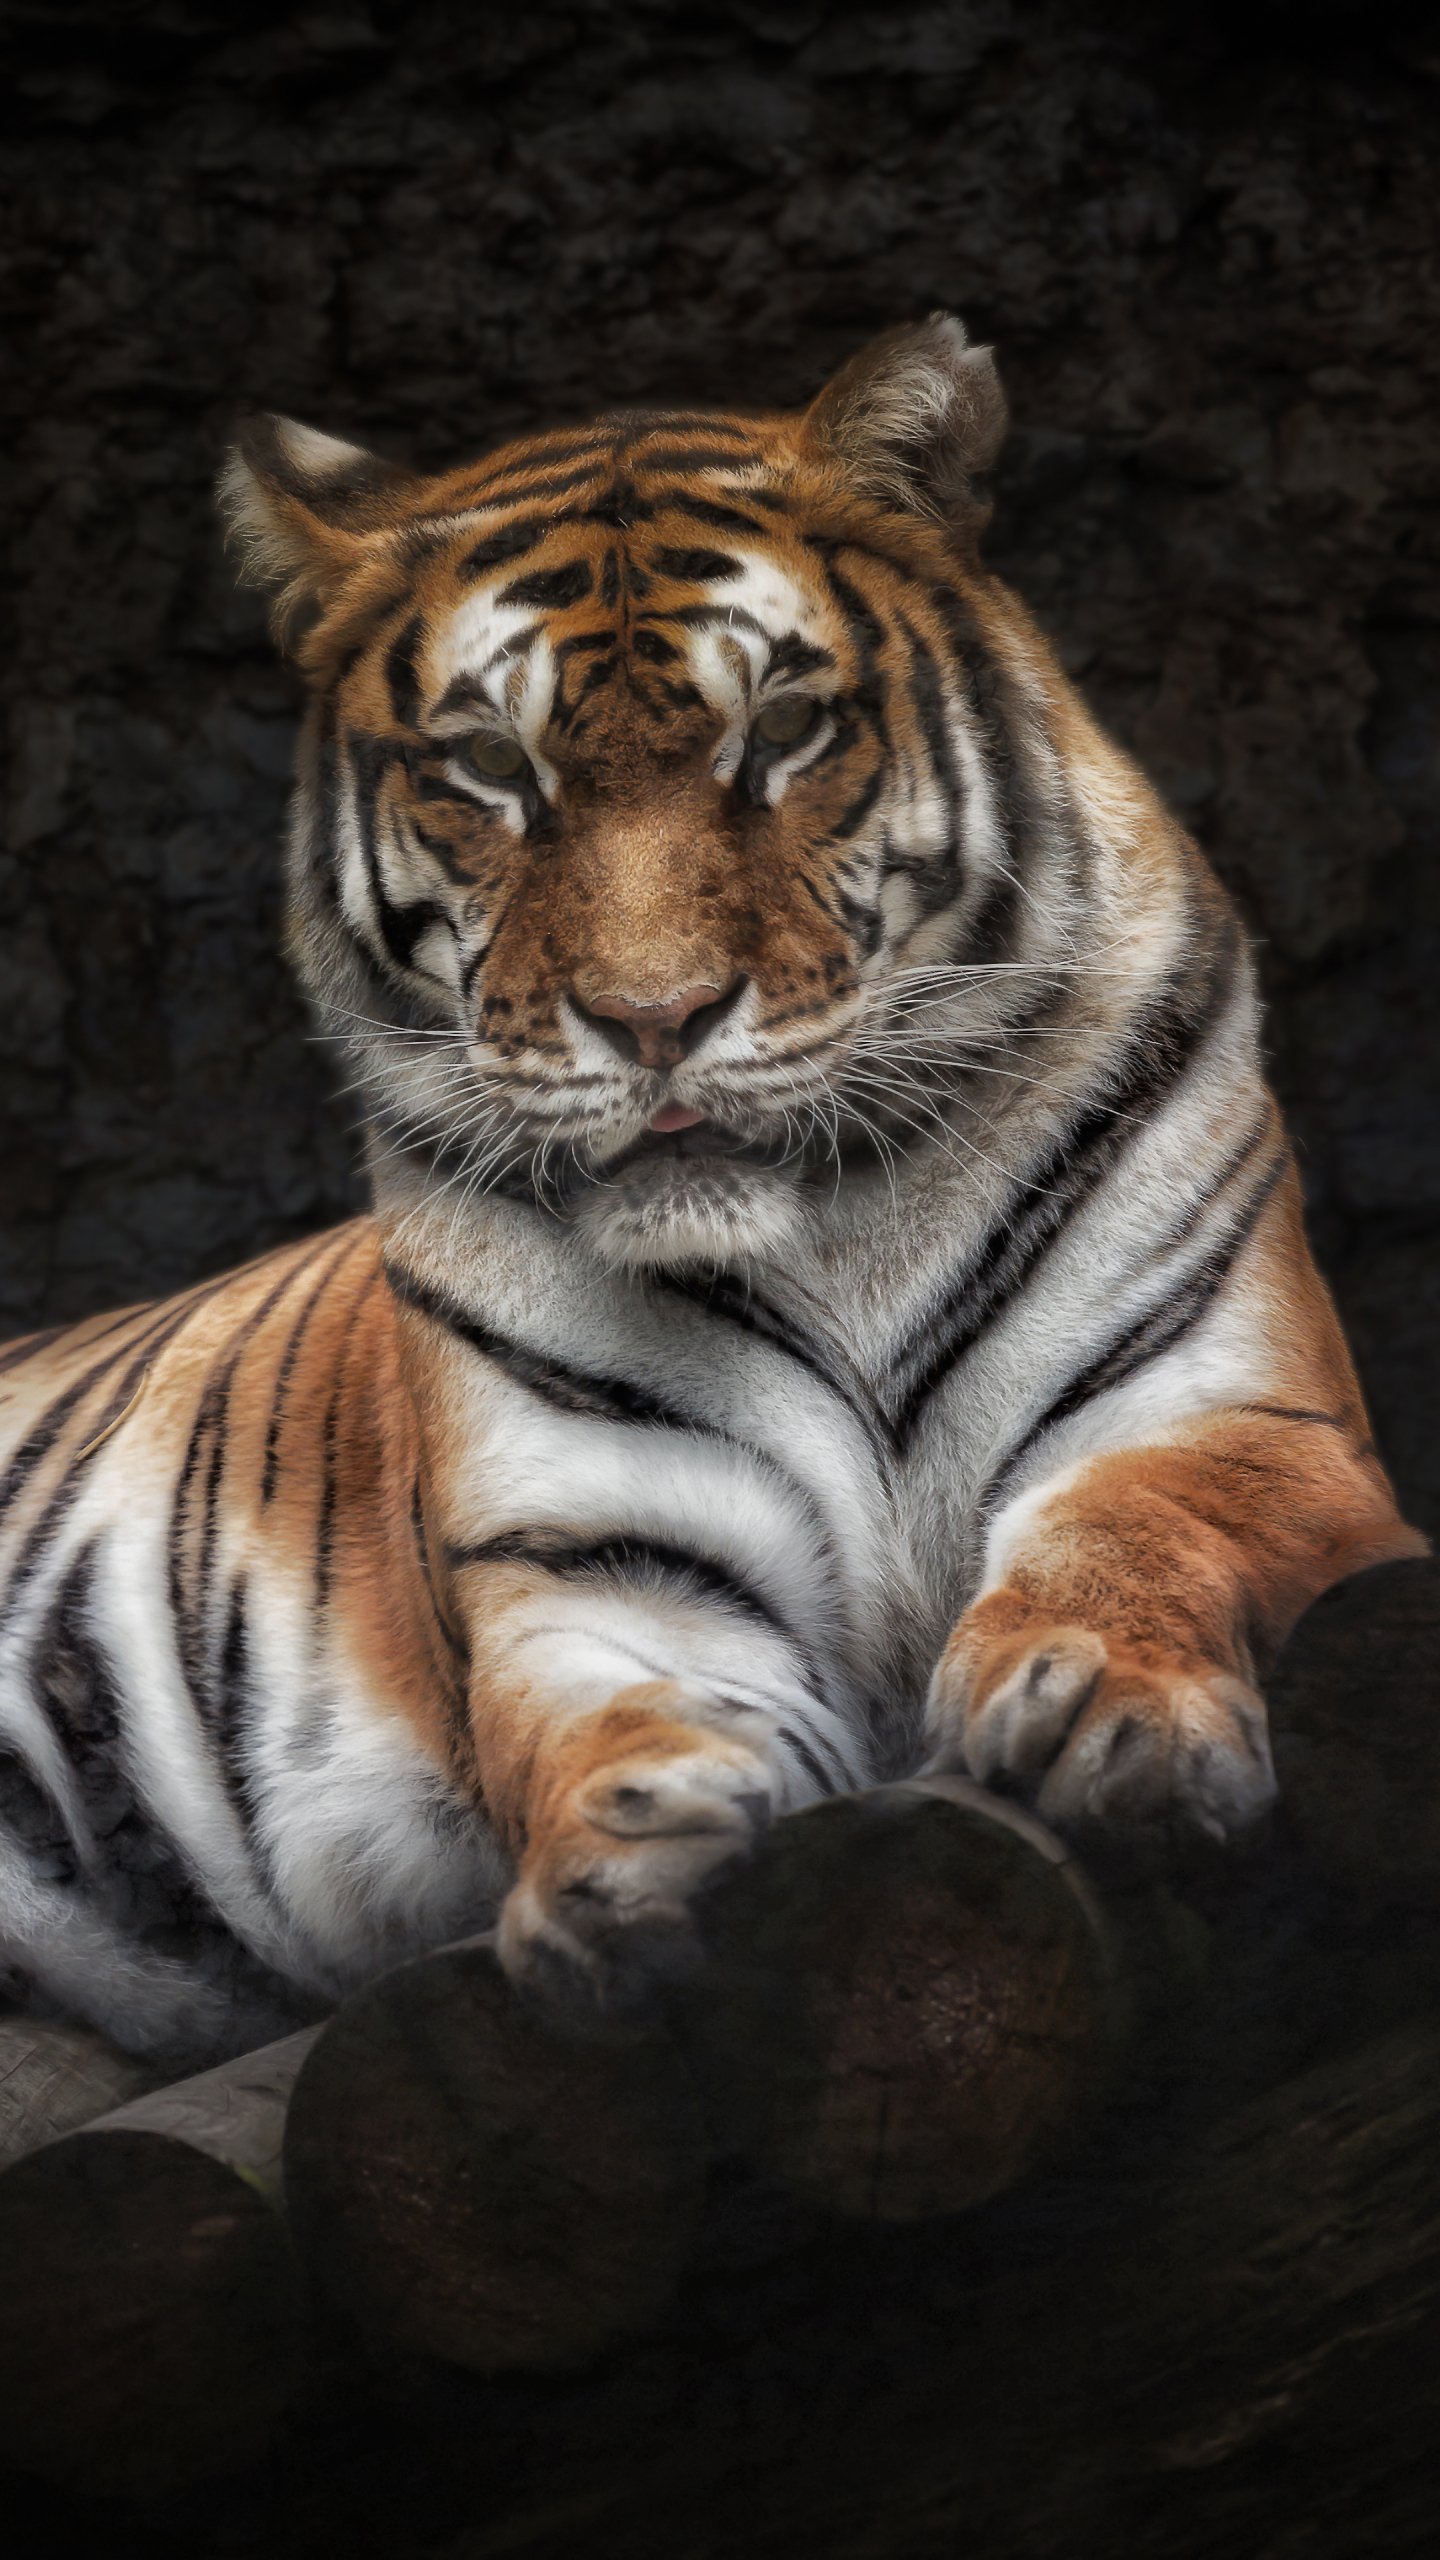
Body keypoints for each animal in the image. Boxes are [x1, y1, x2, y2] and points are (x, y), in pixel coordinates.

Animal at [0, 313, 1422, 2065]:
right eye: (490, 765)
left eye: (786, 733)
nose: (656, 1016)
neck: (846, 1231)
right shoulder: (600, 1547)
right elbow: (608, 1706)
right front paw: (632, 1857)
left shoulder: (1251, 1415)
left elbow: (1146, 1519)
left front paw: (1097, 1701)